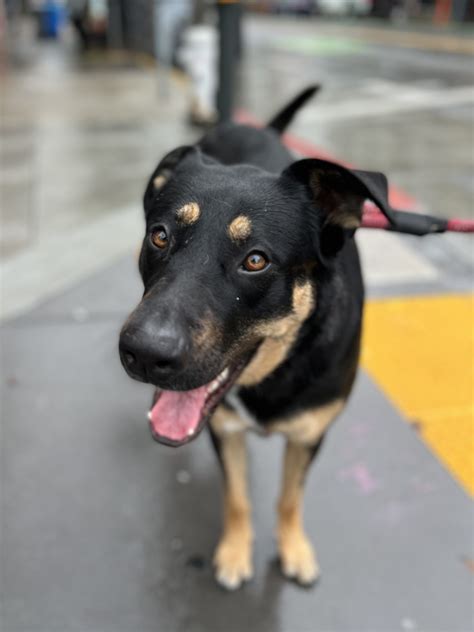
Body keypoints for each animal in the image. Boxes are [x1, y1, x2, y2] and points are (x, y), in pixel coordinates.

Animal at [118, 86, 392, 592]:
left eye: (256, 260)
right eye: (160, 236)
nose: (143, 353)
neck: (276, 370)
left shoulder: (310, 434)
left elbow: (289, 497)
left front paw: (294, 549)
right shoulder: (224, 430)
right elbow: (237, 496)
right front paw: (233, 552)